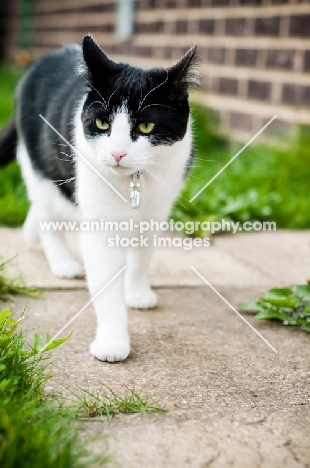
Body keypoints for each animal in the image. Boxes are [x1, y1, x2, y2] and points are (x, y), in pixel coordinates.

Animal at [0, 35, 199, 362]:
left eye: (146, 126)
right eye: (102, 124)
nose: (117, 153)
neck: (133, 182)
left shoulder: (155, 213)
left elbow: (142, 257)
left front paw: (136, 292)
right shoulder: (100, 227)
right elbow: (106, 284)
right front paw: (112, 340)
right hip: (40, 162)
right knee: (47, 209)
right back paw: (62, 261)